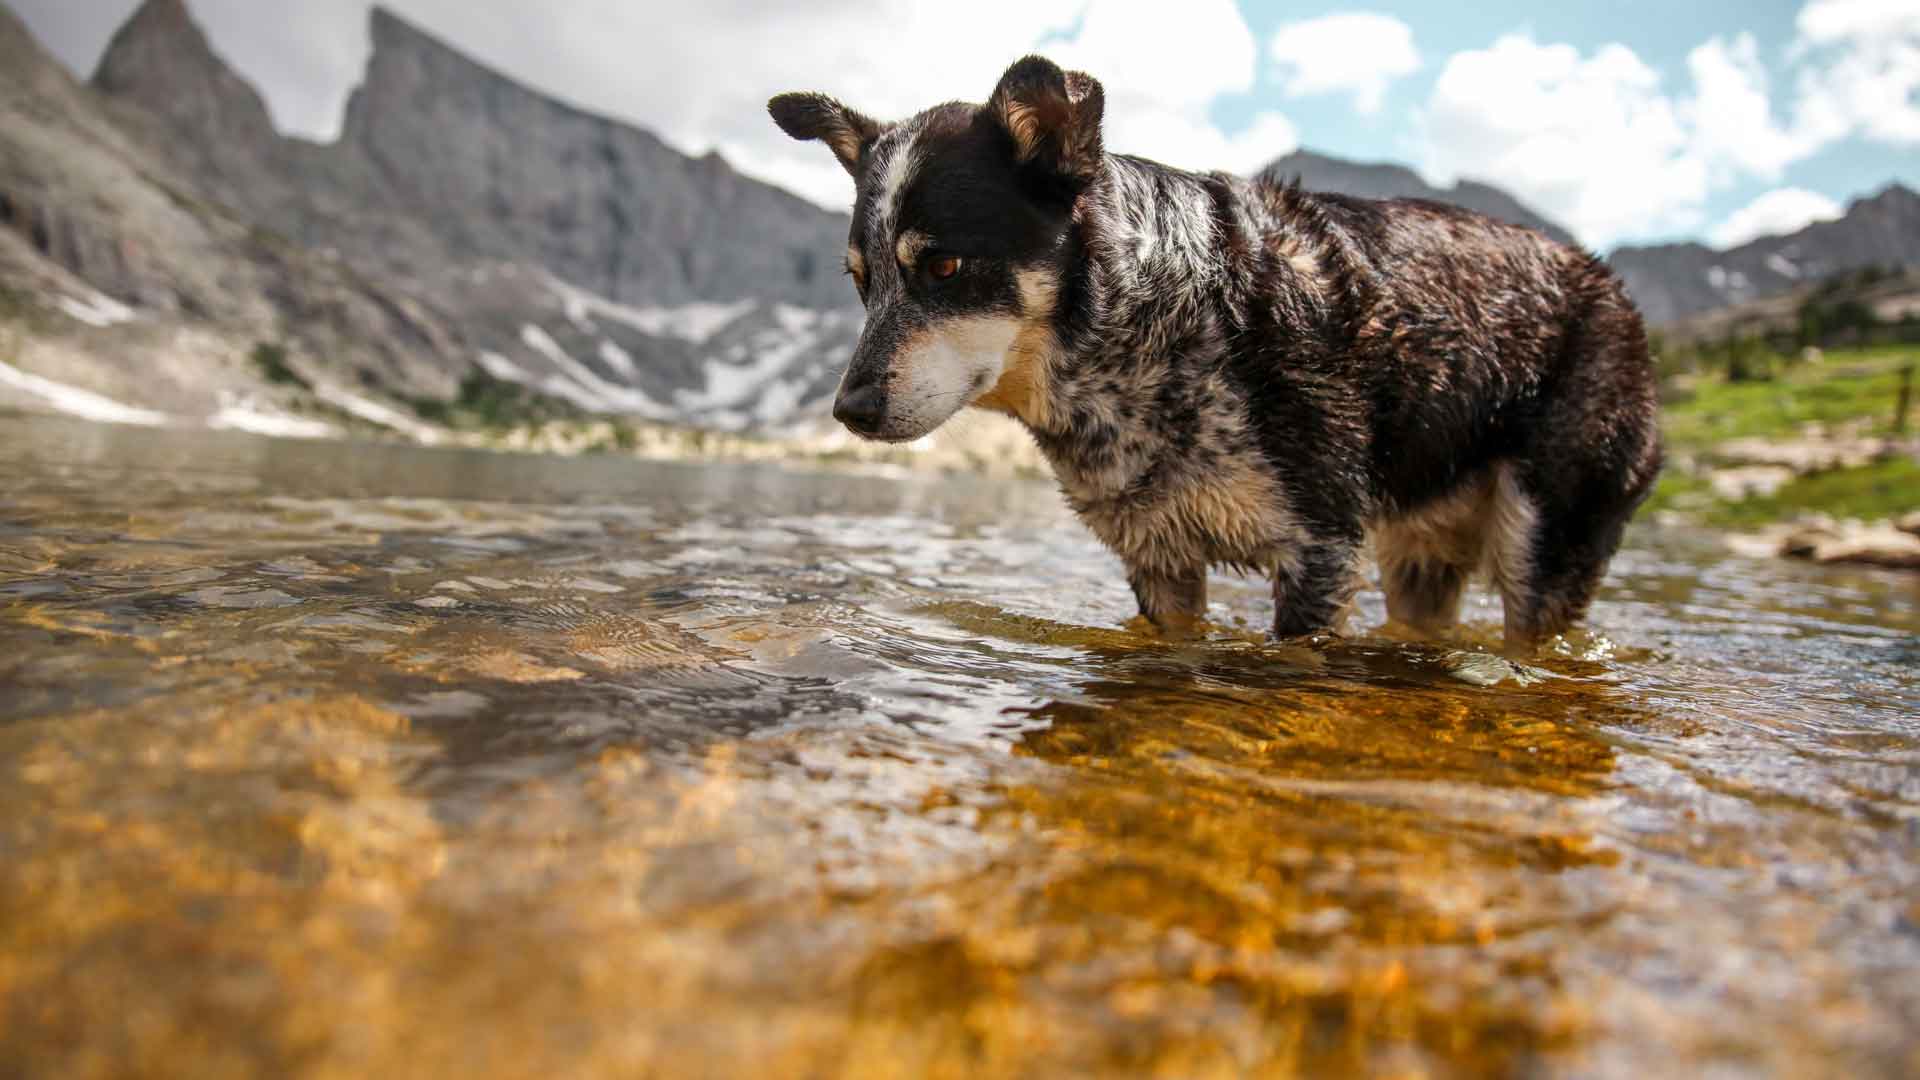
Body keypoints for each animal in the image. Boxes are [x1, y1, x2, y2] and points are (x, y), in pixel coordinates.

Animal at [771, 54, 1658, 641]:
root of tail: (1611, 287)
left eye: (945, 266)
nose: (849, 409)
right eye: (861, 281)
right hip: (1420, 560)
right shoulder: (1158, 561)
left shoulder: (1321, 553)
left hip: (1545, 542)